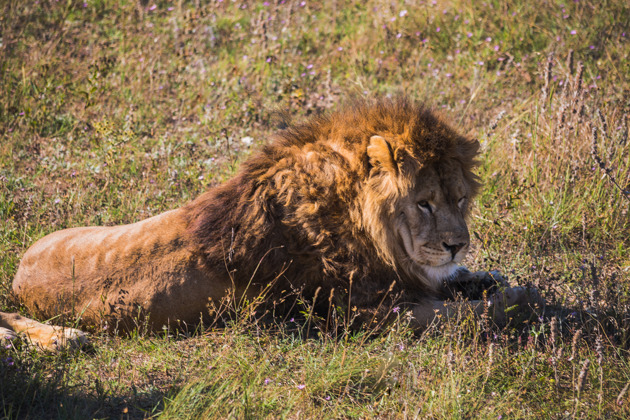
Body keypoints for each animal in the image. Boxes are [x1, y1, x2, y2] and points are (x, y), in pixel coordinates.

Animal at [0, 97, 544, 350]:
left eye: (459, 198)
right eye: (425, 203)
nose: (457, 246)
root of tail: (19, 275)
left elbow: (460, 289)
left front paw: (484, 278)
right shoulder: (359, 313)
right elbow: (457, 316)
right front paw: (520, 299)